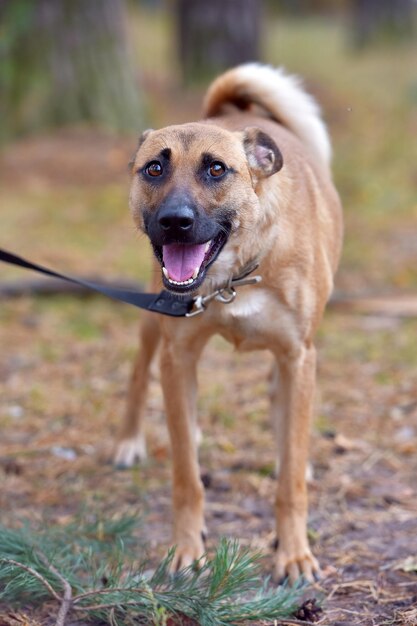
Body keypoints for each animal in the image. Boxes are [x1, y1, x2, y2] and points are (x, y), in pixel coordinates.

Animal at [111, 63, 342, 580]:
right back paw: (131, 440)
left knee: (281, 407)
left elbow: (289, 480)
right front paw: (185, 549)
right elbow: (186, 476)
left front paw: (293, 554)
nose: (175, 221)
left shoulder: (299, 355)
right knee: (139, 373)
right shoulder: (178, 355)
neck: (233, 275)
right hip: (153, 325)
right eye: (154, 168)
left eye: (216, 169)